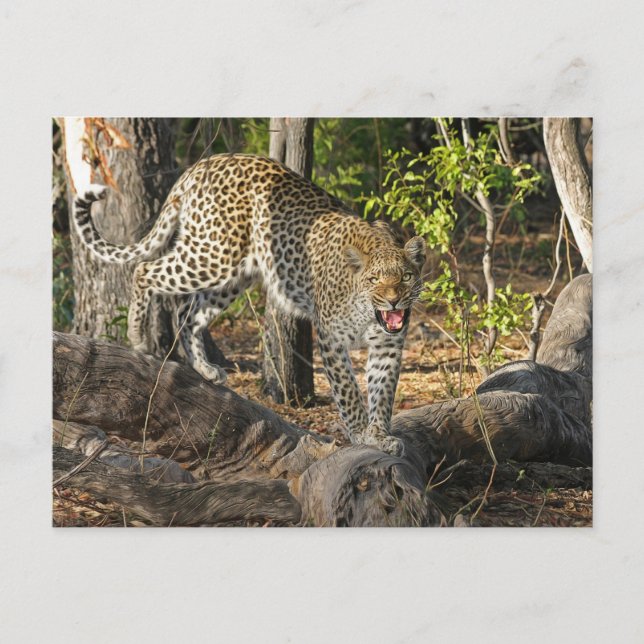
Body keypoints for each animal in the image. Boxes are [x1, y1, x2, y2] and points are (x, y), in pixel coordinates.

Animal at [72, 153, 426, 455]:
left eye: (407, 277)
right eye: (374, 280)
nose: (393, 300)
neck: (369, 313)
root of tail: (202, 164)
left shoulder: (388, 345)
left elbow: (383, 392)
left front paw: (380, 436)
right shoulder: (330, 338)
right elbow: (349, 392)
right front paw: (361, 433)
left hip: (233, 276)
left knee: (188, 313)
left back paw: (205, 368)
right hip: (212, 255)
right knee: (145, 270)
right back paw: (138, 337)